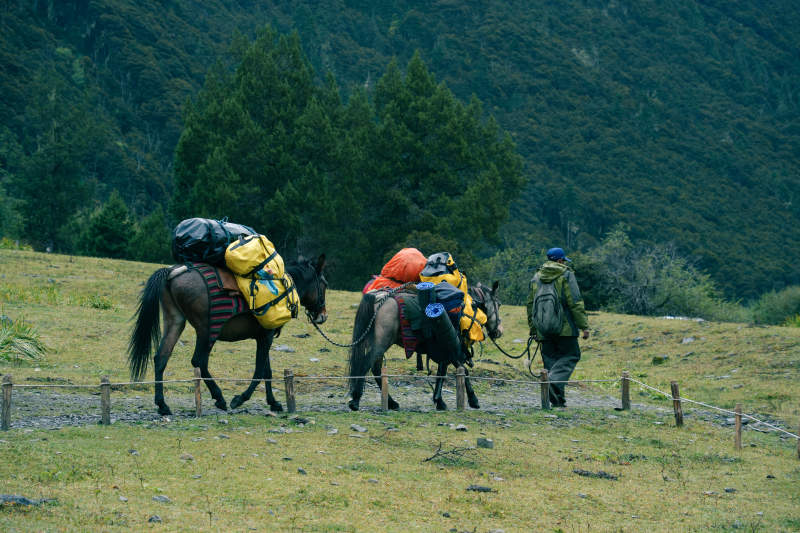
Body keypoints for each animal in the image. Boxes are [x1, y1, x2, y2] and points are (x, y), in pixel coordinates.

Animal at [127, 255, 327, 415]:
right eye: (324, 285)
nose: (323, 316)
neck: (284, 288)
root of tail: (172, 272)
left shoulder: (264, 337)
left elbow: (267, 371)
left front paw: (274, 403)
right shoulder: (267, 337)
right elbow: (259, 371)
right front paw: (239, 399)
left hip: (175, 322)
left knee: (161, 358)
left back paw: (162, 405)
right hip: (207, 330)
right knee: (199, 361)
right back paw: (220, 398)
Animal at [347, 281, 502, 411]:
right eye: (498, 304)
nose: (499, 331)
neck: (467, 310)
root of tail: (377, 297)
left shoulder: (447, 353)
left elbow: (442, 373)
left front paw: (439, 401)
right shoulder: (454, 350)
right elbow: (463, 371)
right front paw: (473, 400)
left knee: (376, 369)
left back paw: (391, 403)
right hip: (382, 343)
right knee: (367, 364)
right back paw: (356, 400)